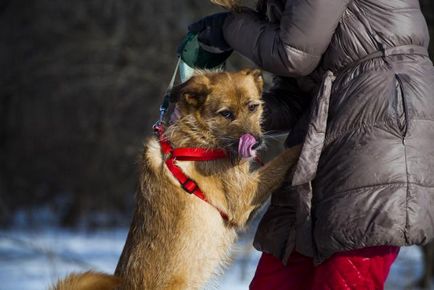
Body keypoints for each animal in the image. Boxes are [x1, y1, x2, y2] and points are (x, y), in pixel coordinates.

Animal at [52, 70, 300, 290]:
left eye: (253, 107)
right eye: (226, 114)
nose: (256, 142)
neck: (200, 136)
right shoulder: (242, 198)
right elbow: (285, 157)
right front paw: (306, 143)